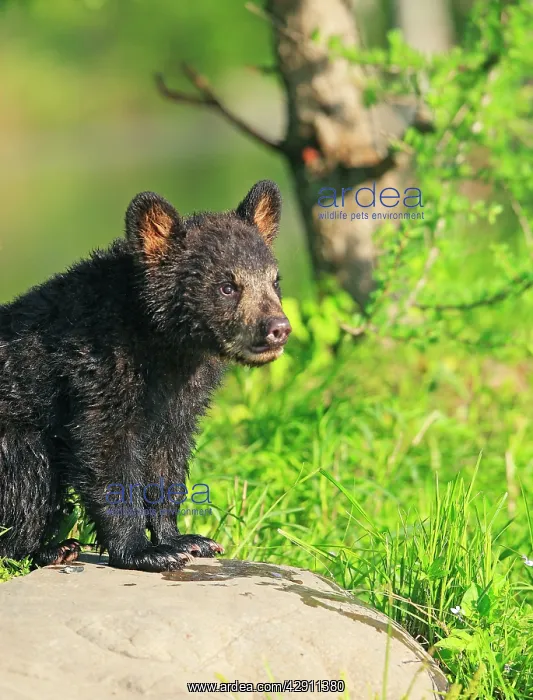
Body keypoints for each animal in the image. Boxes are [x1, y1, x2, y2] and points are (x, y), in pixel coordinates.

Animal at [0, 180, 291, 572]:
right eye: (227, 286)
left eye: (274, 281)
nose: (278, 328)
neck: (161, 343)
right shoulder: (97, 368)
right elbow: (106, 448)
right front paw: (142, 551)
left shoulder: (180, 392)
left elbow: (167, 453)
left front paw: (185, 540)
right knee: (30, 480)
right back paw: (46, 548)